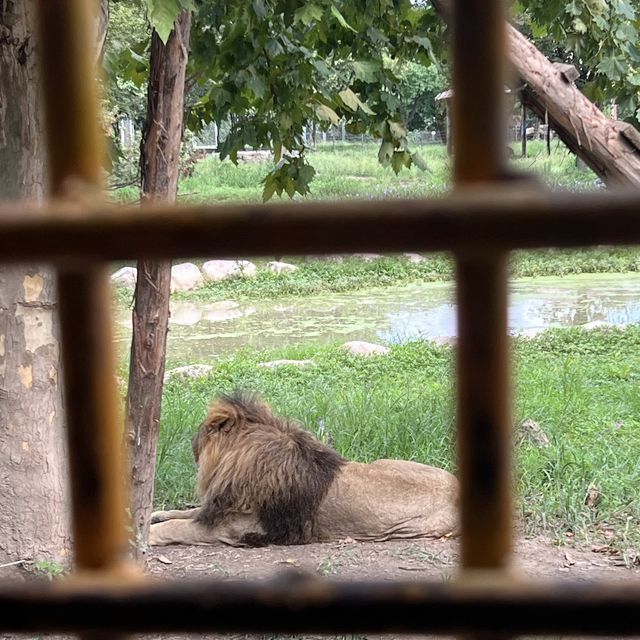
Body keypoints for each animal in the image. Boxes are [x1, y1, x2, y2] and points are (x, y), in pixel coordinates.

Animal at [150, 392, 460, 548]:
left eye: (202, 432)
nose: (191, 441)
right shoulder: (219, 508)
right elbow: (187, 512)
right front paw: (155, 515)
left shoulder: (237, 527)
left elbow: (177, 526)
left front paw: (148, 534)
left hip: (409, 529)